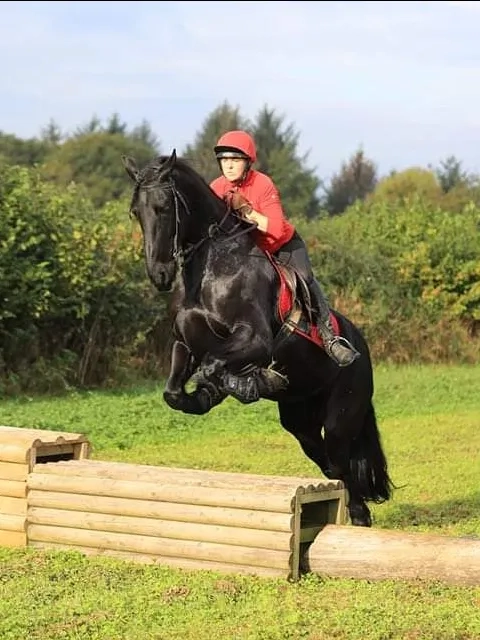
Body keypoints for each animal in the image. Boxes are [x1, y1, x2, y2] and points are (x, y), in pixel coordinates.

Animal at [122, 149, 394, 527]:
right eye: (136, 211)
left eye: (162, 207)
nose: (159, 275)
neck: (213, 268)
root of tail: (362, 348)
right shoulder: (184, 343)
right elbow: (175, 392)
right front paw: (206, 396)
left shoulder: (254, 341)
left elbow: (215, 365)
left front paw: (249, 383)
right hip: (300, 418)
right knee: (328, 461)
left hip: (342, 413)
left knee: (343, 462)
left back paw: (359, 515)